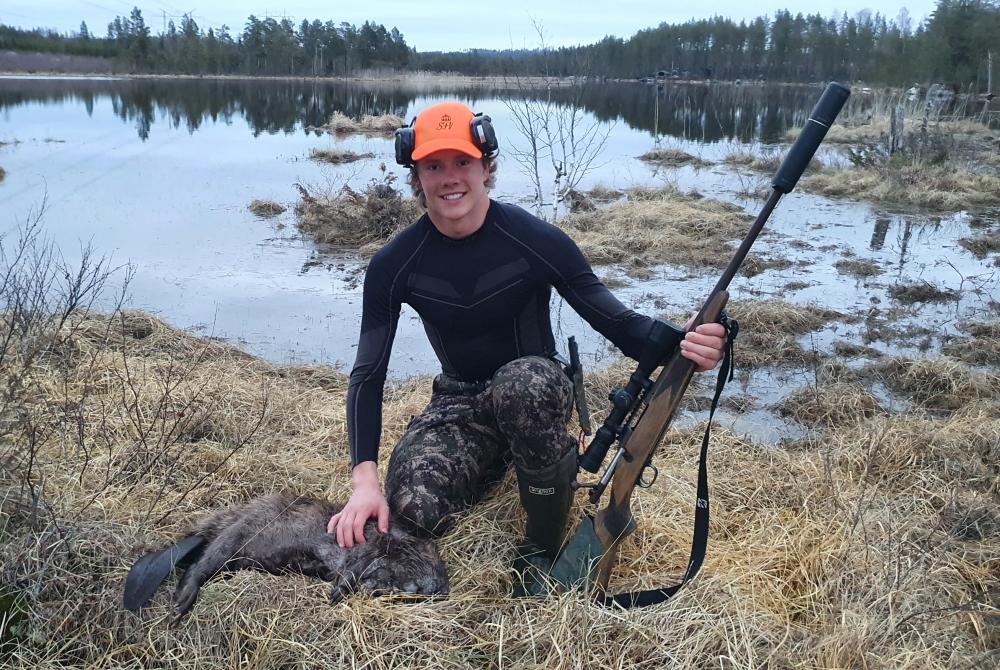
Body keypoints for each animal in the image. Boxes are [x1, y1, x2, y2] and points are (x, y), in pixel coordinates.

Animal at [123, 494, 449, 623]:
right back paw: (179, 606)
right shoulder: (367, 541)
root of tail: (204, 533)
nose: (437, 588)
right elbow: (354, 566)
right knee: (198, 566)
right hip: (236, 534)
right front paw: (338, 592)